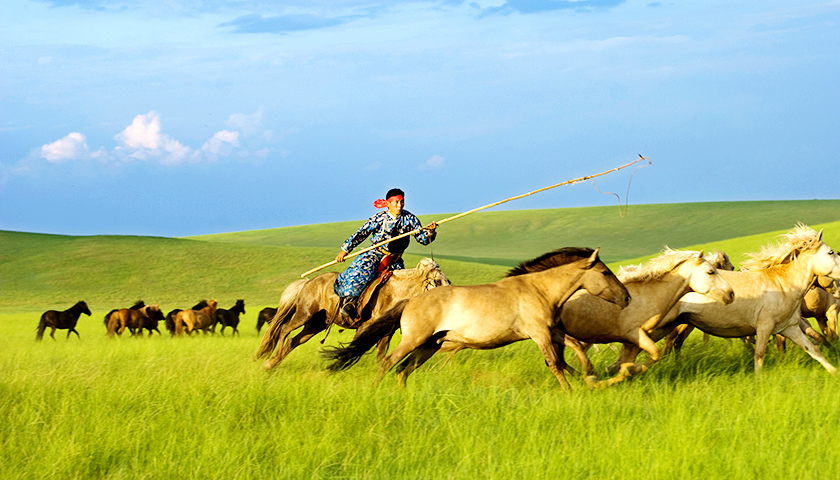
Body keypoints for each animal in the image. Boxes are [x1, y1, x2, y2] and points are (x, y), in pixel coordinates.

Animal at [256, 258, 450, 372]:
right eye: (437, 280)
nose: (449, 292)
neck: (394, 292)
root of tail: (308, 282)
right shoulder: (365, 327)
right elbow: (352, 348)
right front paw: (336, 366)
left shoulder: (386, 332)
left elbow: (380, 354)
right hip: (304, 314)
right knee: (284, 330)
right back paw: (270, 360)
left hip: (316, 324)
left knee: (293, 341)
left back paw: (271, 363)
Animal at [324, 249, 628, 392]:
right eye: (605, 272)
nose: (626, 298)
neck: (537, 289)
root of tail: (411, 300)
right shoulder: (539, 332)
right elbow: (554, 362)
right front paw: (571, 390)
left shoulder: (550, 331)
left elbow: (572, 349)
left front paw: (589, 376)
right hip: (414, 340)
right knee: (388, 362)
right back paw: (375, 391)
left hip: (430, 345)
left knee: (403, 369)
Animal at [556, 248, 732, 386]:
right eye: (711, 272)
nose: (731, 293)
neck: (649, 296)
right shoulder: (637, 334)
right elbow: (657, 352)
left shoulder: (633, 341)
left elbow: (629, 364)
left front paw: (611, 376)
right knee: (570, 350)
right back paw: (585, 374)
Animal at [616, 226, 840, 376]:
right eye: (831, 252)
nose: (838, 290)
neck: (783, 285)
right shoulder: (764, 326)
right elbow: (759, 355)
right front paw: (758, 381)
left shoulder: (789, 327)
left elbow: (814, 349)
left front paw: (834, 371)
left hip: (671, 326)